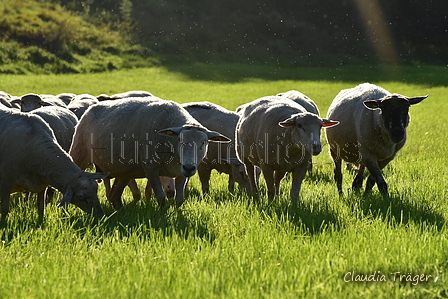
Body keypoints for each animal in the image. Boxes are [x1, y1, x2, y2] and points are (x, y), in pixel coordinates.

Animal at [70, 98, 233, 209]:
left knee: (114, 196)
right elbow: (160, 197)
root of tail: (92, 107)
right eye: (180, 140)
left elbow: (179, 200)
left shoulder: (182, 173)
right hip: (79, 154)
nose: (189, 167)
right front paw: (163, 215)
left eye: (204, 143)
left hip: (124, 171)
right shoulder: (151, 169)